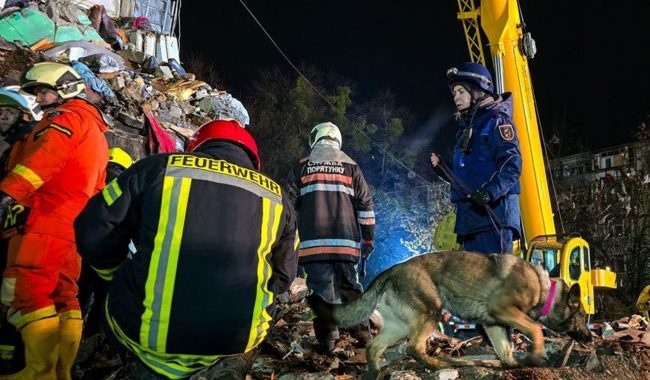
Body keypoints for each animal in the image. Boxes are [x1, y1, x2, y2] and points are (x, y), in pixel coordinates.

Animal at [306, 251, 588, 378]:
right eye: (582, 317)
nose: (591, 337)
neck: (544, 290)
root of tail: (390, 271)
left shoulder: (494, 324)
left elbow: (506, 350)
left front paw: (513, 365)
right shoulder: (504, 310)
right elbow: (536, 329)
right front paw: (536, 356)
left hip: (400, 325)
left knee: (375, 347)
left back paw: (375, 372)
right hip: (431, 311)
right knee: (413, 347)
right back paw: (438, 364)